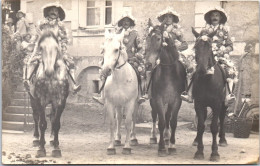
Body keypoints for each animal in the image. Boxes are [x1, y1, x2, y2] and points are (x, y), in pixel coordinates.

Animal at [145, 24, 186, 156]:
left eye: (159, 38)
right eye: (147, 38)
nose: (148, 64)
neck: (168, 72)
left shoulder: (177, 100)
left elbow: (172, 121)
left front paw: (172, 145)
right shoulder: (158, 99)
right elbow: (161, 122)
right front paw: (162, 147)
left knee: (168, 116)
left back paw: (167, 137)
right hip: (153, 101)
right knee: (154, 116)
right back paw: (153, 137)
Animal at [191, 27, 228, 161]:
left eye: (210, 46)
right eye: (196, 46)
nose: (202, 69)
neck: (207, 80)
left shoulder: (217, 104)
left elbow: (214, 127)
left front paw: (215, 153)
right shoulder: (199, 104)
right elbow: (201, 126)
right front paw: (199, 151)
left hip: (224, 104)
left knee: (222, 118)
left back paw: (223, 140)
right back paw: (196, 140)